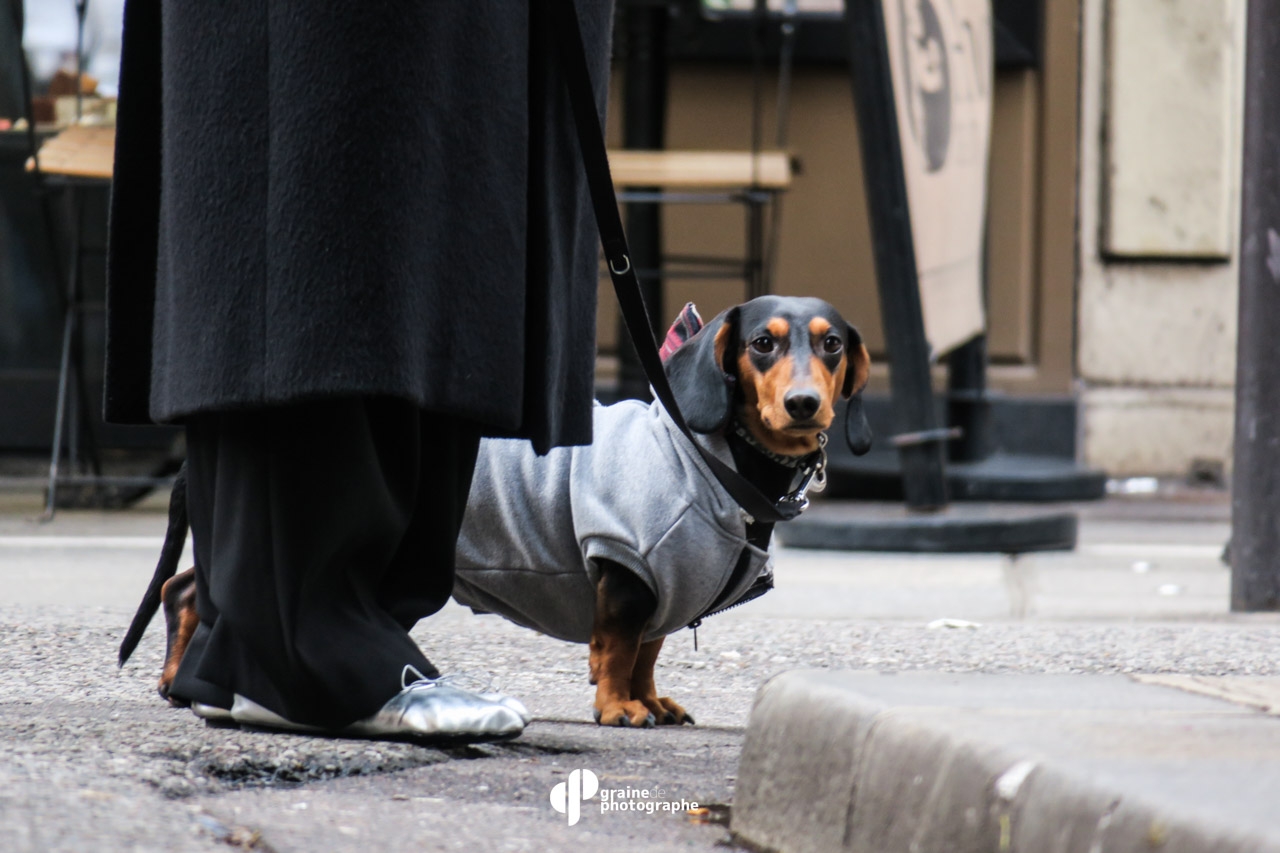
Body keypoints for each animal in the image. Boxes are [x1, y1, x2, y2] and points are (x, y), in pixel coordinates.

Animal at [120, 295, 875, 727]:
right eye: (762, 343)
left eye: (831, 343)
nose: (805, 405)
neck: (711, 456)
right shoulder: (627, 568)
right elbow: (618, 649)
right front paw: (617, 708)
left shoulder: (666, 588)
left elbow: (649, 651)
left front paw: (650, 700)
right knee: (194, 591)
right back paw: (187, 681)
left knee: (182, 589)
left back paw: (177, 681)